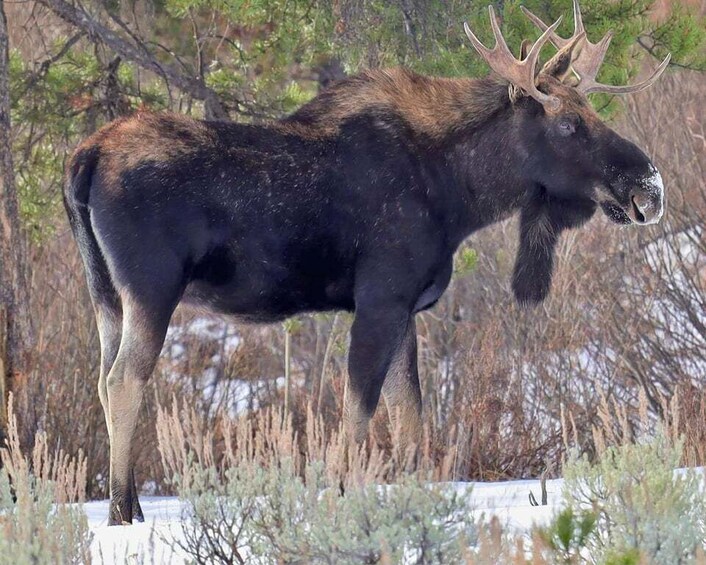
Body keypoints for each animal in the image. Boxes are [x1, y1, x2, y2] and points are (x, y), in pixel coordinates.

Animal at [63, 1, 669, 524]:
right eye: (567, 124)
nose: (649, 187)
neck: (459, 195)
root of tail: (84, 159)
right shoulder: (381, 299)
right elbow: (358, 412)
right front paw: (339, 496)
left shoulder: (408, 309)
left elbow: (409, 420)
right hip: (152, 287)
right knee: (124, 380)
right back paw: (120, 514)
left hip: (105, 293)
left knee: (103, 380)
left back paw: (131, 507)